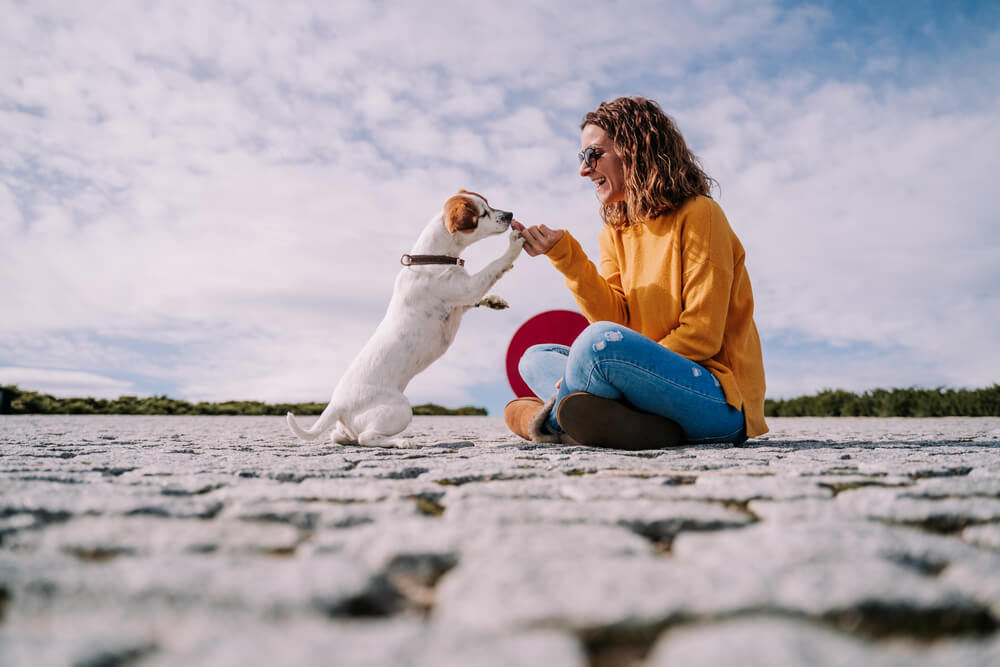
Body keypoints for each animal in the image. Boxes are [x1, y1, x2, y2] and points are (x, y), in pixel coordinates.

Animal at [286, 190, 524, 446]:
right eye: (483, 213)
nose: (510, 215)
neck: (433, 258)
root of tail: (336, 405)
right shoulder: (466, 288)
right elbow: (493, 267)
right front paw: (514, 244)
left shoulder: (462, 300)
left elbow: (481, 295)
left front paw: (494, 301)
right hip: (400, 409)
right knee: (367, 438)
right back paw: (400, 442)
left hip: (351, 427)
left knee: (343, 437)